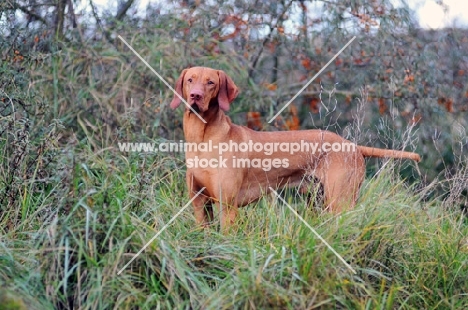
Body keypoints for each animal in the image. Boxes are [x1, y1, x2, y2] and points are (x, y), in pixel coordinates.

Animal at [169, 66, 420, 230]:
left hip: (340, 201)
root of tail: (353, 146)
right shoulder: (199, 204)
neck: (203, 138)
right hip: (320, 200)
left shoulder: (227, 205)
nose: (195, 96)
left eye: (211, 82)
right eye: (190, 80)